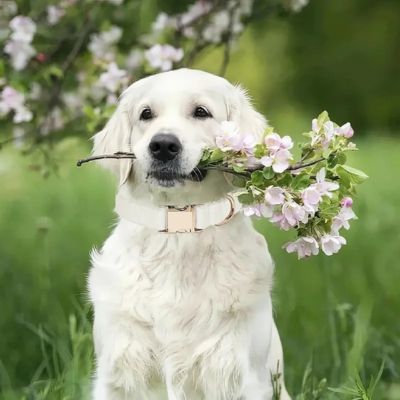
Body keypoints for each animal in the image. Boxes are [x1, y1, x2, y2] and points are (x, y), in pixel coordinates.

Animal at [88, 67, 290, 398]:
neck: (178, 230)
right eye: (146, 114)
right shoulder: (118, 372)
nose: (163, 145)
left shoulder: (240, 373)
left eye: (201, 112)